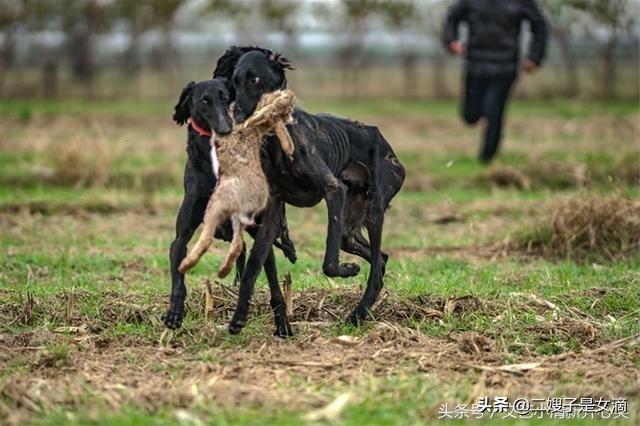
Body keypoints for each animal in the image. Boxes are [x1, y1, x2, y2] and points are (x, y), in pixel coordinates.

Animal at [164, 77, 296, 336]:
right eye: (204, 101)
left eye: (226, 97)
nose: (226, 128)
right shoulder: (181, 237)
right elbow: (179, 274)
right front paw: (174, 313)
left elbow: (253, 276)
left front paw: (240, 317)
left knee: (273, 285)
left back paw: (283, 324)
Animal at [215, 45, 404, 332]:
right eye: (234, 82)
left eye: (255, 79)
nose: (236, 119)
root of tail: (383, 140)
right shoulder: (271, 214)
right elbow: (252, 270)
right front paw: (239, 319)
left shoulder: (334, 190)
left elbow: (329, 264)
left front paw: (348, 270)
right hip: (349, 230)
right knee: (380, 258)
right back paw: (360, 312)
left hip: (374, 210)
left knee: (375, 270)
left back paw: (357, 314)